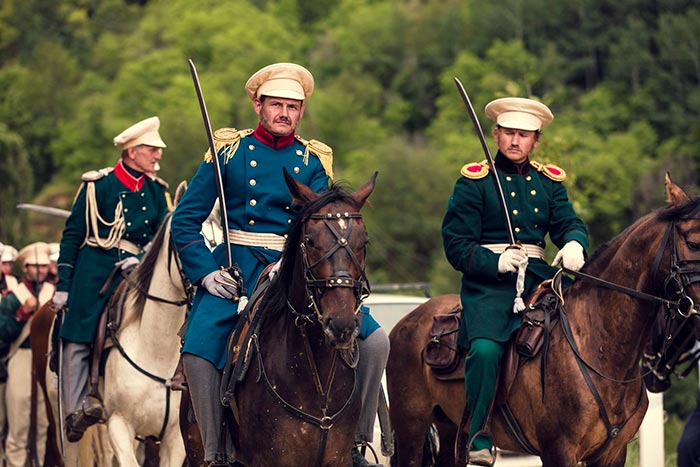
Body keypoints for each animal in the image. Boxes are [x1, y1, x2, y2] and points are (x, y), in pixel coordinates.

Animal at [386, 175, 700, 467]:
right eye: (694, 243)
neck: (601, 349)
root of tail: (405, 322)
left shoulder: (612, 454)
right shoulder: (559, 450)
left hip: (450, 427)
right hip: (411, 426)